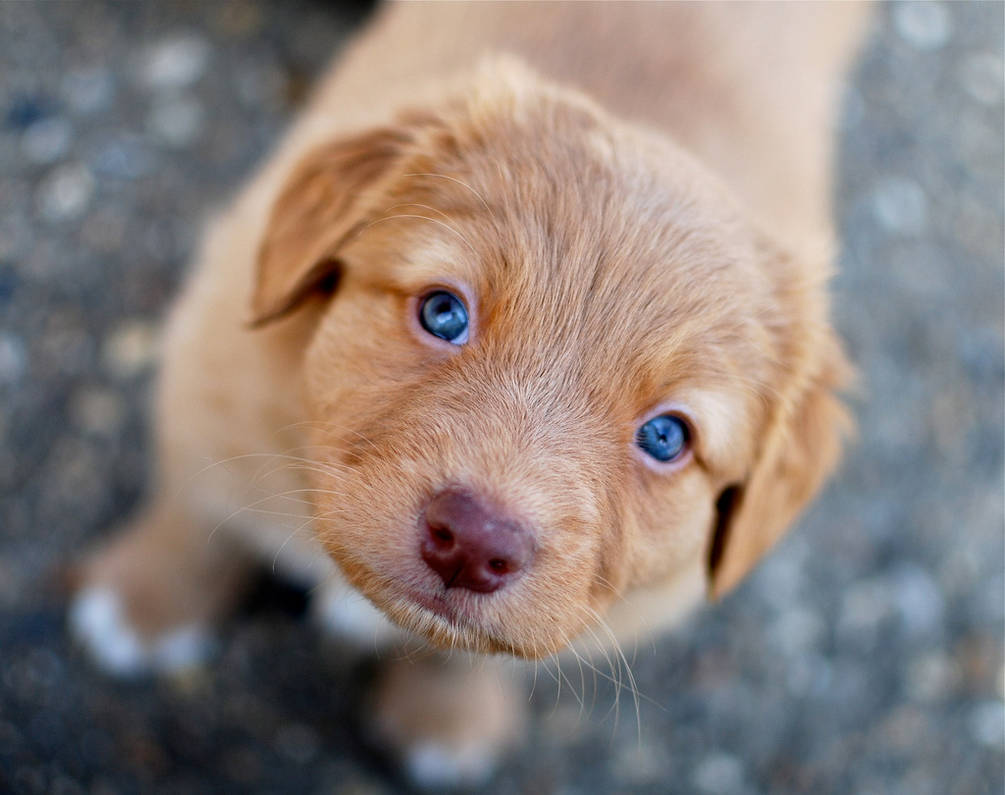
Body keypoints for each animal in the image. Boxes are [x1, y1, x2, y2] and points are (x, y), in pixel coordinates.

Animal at [72, 0, 872, 783]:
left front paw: (443, 718)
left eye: (666, 436)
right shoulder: (216, 369)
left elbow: (467, 657)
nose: (474, 542)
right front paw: (143, 605)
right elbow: (200, 512)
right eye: (443, 313)